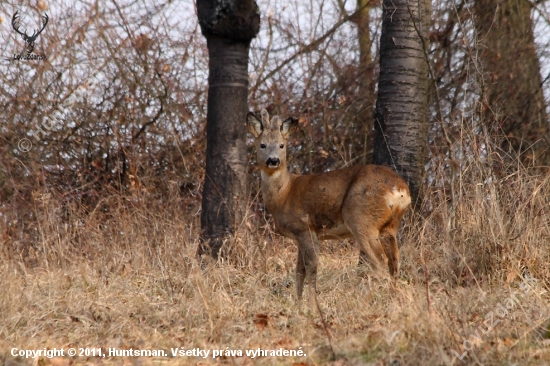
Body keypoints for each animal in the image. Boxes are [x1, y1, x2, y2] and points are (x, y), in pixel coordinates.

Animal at [248, 109, 412, 306]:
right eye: (262, 145)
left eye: (281, 145)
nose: (273, 160)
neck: (284, 194)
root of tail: (400, 189)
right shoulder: (299, 236)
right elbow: (299, 271)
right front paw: (298, 304)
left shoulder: (305, 228)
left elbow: (311, 268)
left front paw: (312, 306)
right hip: (390, 225)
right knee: (394, 262)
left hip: (360, 218)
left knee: (379, 263)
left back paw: (359, 302)